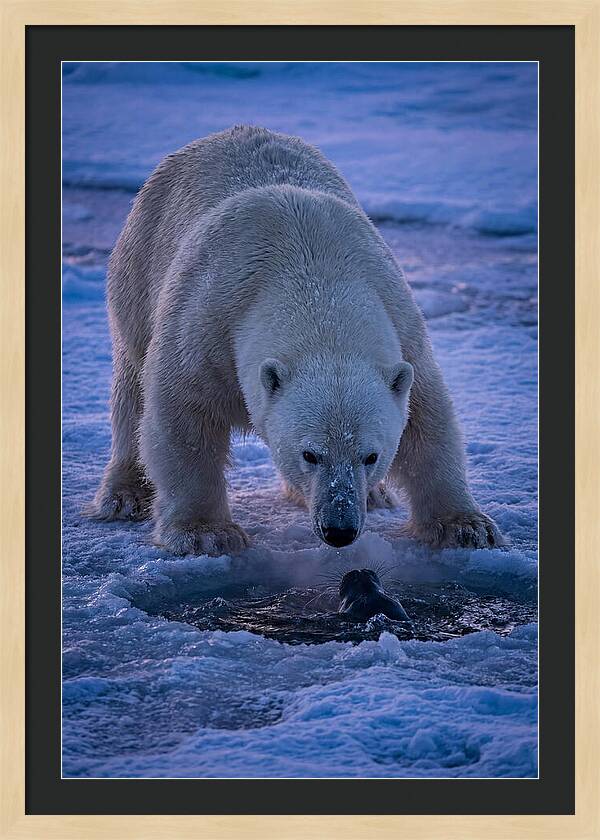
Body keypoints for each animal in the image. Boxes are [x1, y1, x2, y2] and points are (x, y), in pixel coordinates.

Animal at [90, 125, 502, 556]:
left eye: (371, 455)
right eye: (310, 454)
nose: (340, 529)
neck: (313, 275)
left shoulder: (402, 325)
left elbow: (427, 419)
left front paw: (467, 527)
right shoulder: (207, 322)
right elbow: (182, 416)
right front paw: (205, 533)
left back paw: (375, 496)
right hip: (138, 268)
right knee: (132, 385)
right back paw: (124, 495)